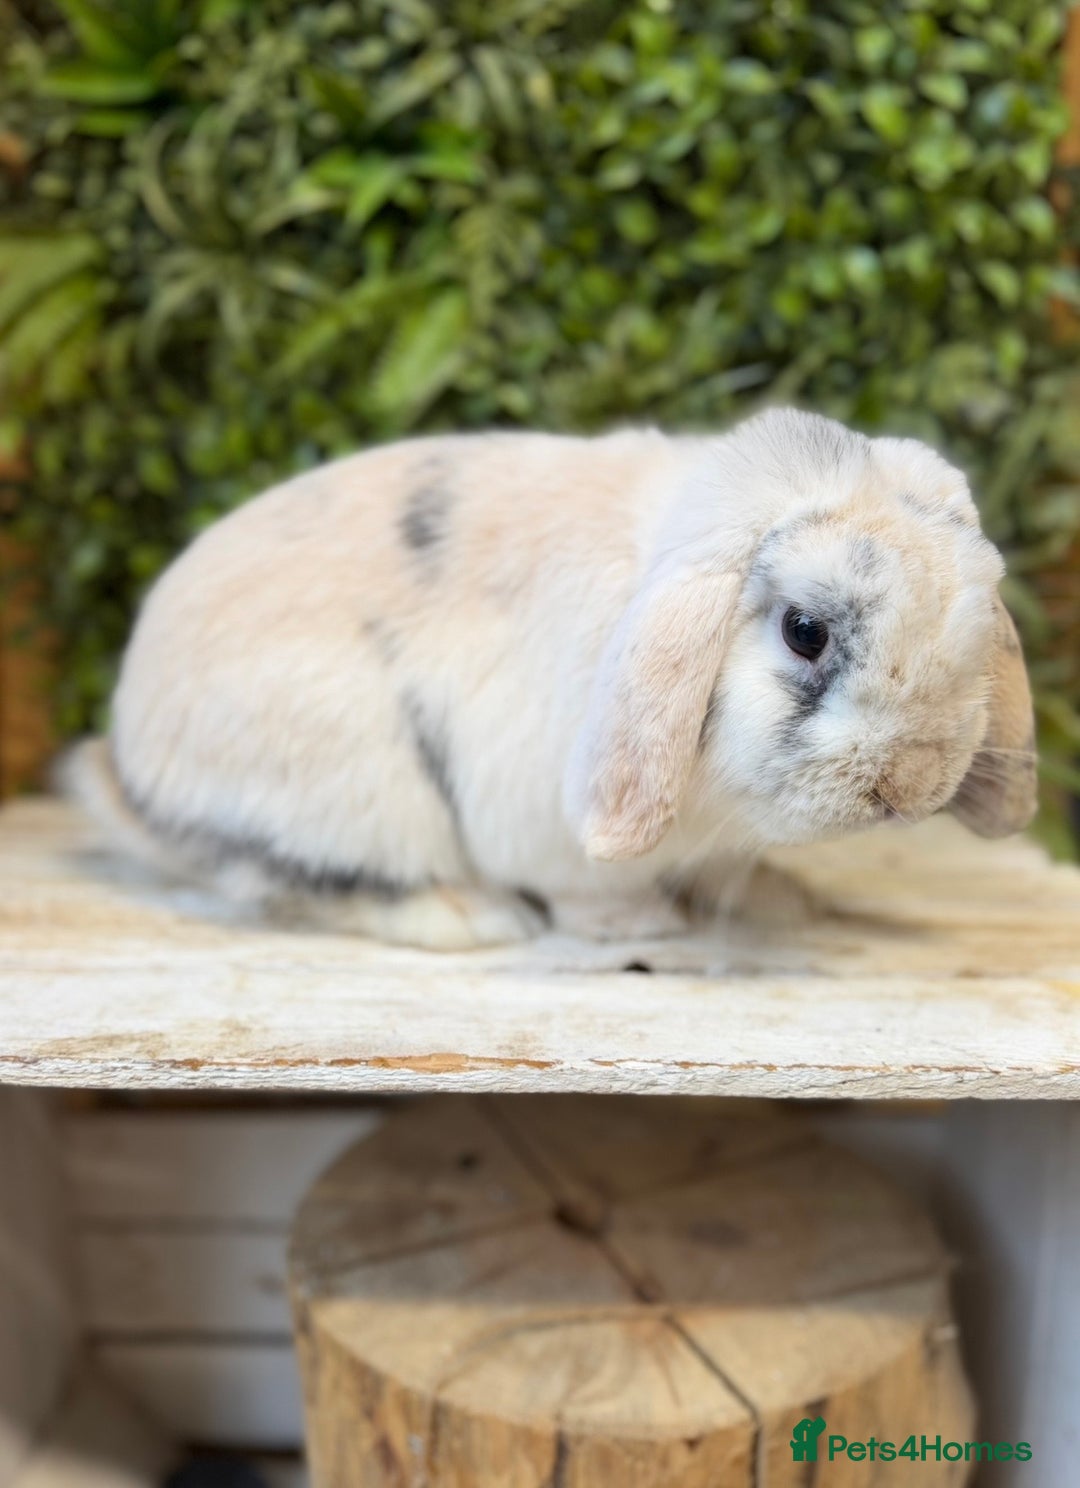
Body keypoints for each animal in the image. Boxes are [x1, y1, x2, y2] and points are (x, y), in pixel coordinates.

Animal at [63, 407, 1037, 949]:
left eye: (979, 619)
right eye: (806, 631)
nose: (907, 788)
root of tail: (131, 767)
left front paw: (781, 905)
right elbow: (595, 890)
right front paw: (643, 928)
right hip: (354, 786)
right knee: (301, 882)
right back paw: (471, 918)